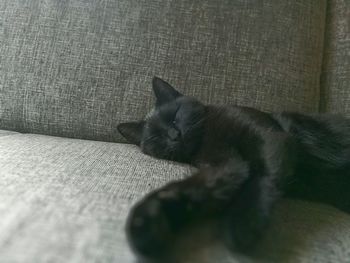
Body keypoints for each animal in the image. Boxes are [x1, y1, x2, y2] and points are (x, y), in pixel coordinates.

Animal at [117, 77, 350, 262]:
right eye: (156, 138)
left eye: (174, 116)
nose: (175, 135)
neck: (207, 136)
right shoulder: (225, 165)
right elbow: (194, 186)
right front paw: (148, 221)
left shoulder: (268, 137)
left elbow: (262, 174)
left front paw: (244, 221)